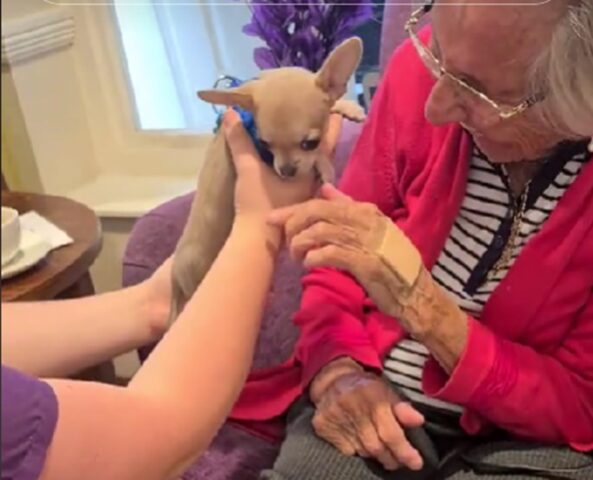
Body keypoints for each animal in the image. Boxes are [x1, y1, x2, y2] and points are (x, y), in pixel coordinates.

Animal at [168, 37, 366, 322]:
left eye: (309, 142)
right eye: (264, 144)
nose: (286, 171)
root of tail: (175, 276)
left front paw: (348, 106)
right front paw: (324, 164)